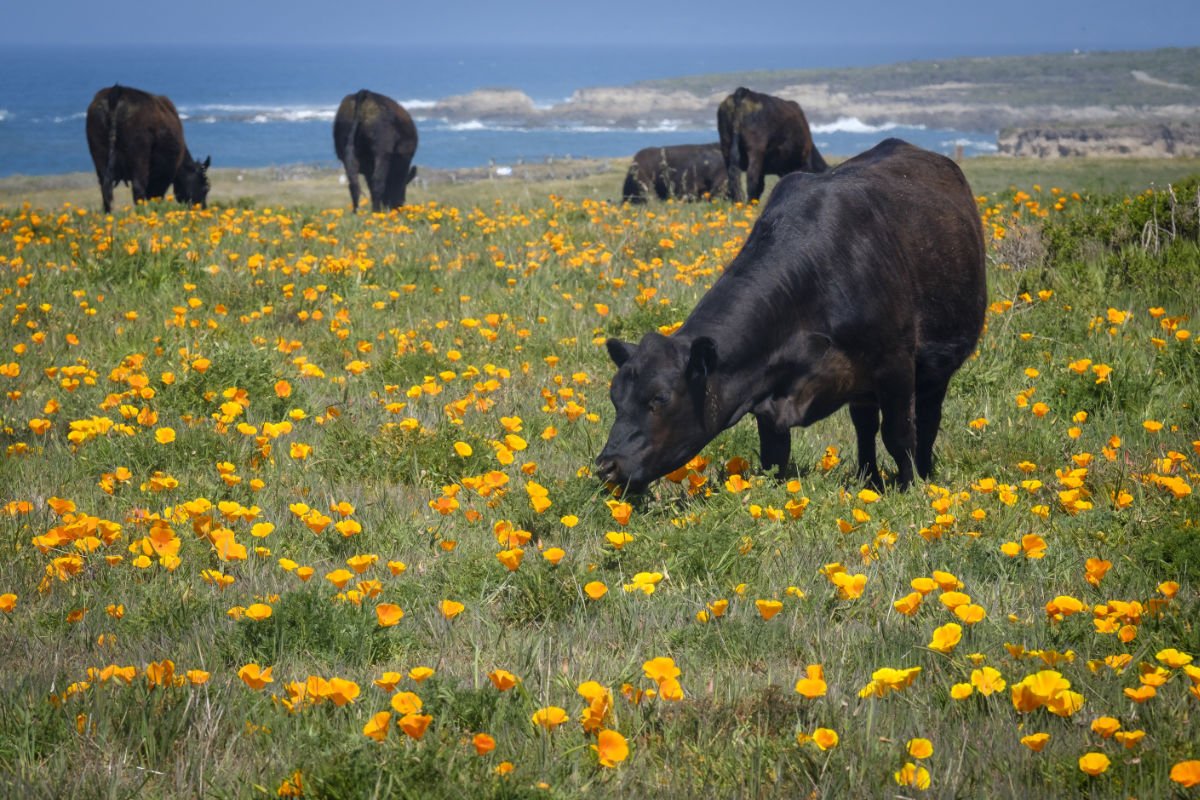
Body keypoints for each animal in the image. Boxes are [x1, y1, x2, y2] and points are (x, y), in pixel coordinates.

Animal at [85, 84, 212, 212]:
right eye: (205, 188)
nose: (203, 208)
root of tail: (116, 91)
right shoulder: (163, 174)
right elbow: (155, 196)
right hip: (138, 157)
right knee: (138, 188)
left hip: (99, 155)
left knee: (105, 189)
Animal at [597, 140, 984, 496]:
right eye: (615, 397)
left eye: (659, 399)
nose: (607, 466)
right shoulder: (767, 391)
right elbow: (774, 455)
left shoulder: (895, 363)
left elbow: (900, 433)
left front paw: (909, 489)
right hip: (861, 384)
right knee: (864, 425)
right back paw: (867, 480)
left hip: (936, 363)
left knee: (927, 418)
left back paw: (924, 473)